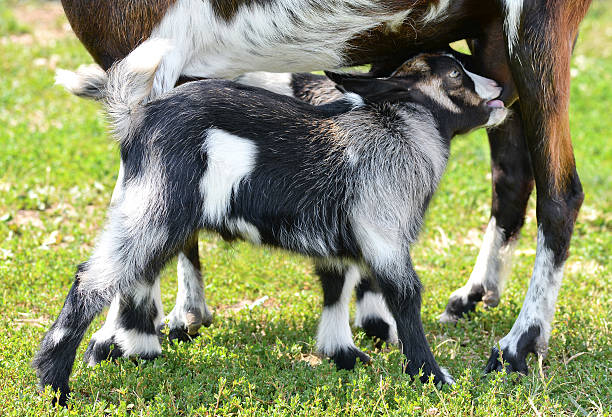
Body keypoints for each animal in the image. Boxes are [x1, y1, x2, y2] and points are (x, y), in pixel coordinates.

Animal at [33, 39, 506, 404]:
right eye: (456, 75)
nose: (500, 86)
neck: (401, 129)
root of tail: (137, 119)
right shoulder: (385, 231)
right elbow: (406, 297)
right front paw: (431, 375)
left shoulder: (343, 236)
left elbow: (337, 284)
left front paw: (341, 352)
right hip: (155, 207)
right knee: (94, 279)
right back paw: (54, 383)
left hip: (155, 210)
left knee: (138, 272)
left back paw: (134, 350)